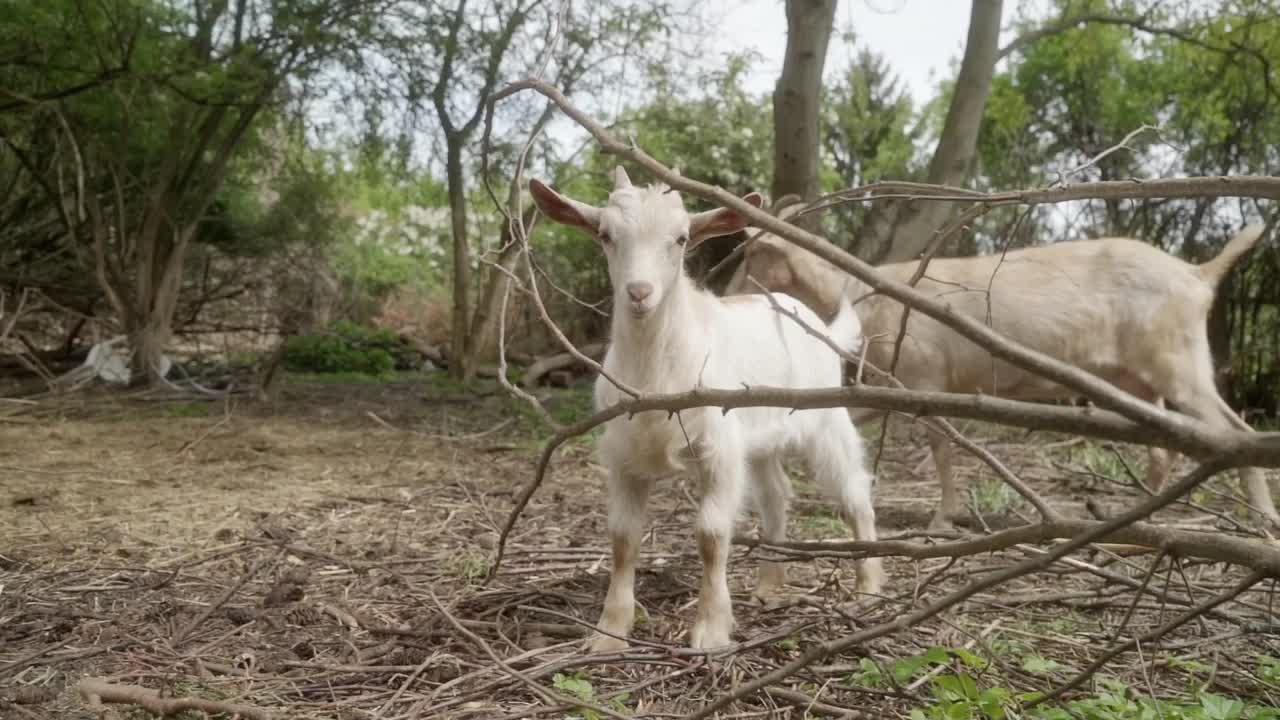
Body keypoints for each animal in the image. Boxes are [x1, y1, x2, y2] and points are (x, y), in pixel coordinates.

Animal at [727, 208, 1274, 527]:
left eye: (751, 254)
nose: (726, 294)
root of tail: (1197, 274)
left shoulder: (926, 377)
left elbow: (942, 449)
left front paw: (943, 519)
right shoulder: (894, 384)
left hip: (1178, 359)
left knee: (1233, 429)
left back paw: (1263, 519)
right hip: (1133, 377)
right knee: (1166, 445)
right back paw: (1135, 518)